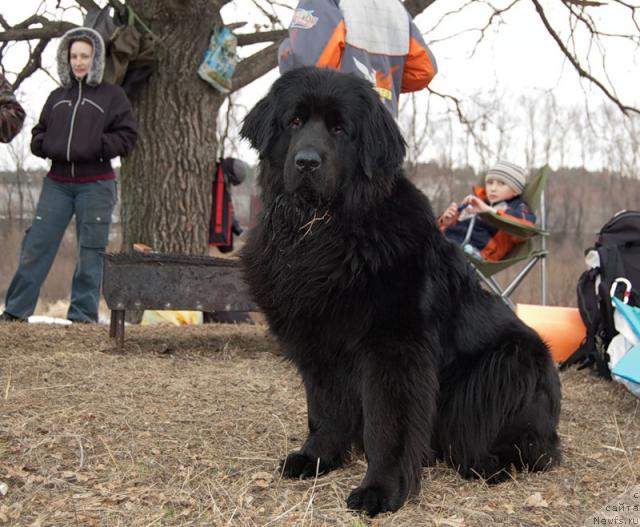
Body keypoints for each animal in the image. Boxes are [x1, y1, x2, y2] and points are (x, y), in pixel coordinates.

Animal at [240, 68, 560, 516]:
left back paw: (486, 463)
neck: (323, 233)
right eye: (294, 121)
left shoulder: (394, 349)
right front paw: (318, 457)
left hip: (511, 363)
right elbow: (324, 408)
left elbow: (388, 424)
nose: (306, 162)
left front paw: (381, 489)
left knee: (528, 446)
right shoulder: (316, 342)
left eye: (340, 129)